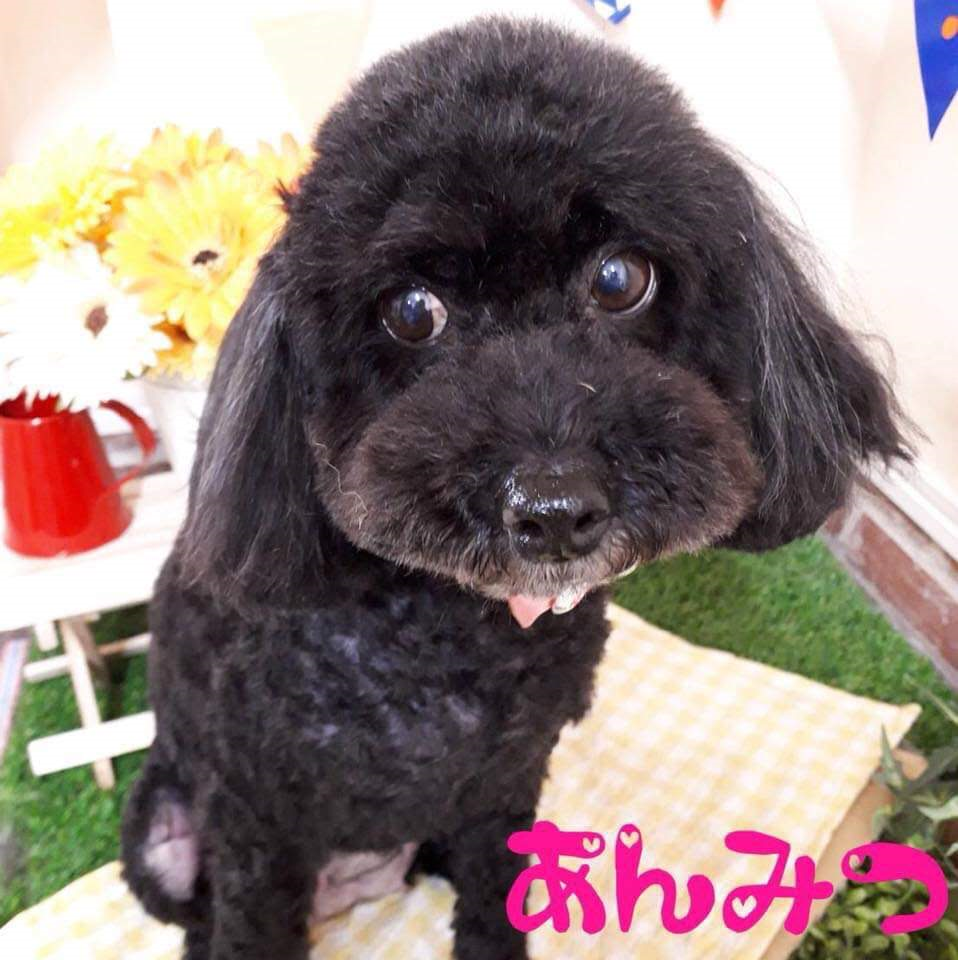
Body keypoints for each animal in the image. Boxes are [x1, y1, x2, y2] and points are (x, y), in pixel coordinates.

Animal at [121, 17, 908, 960]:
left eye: (620, 278)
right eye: (412, 310)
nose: (555, 509)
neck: (456, 631)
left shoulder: (507, 779)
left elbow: (497, 893)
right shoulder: (254, 818)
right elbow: (251, 925)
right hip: (165, 842)